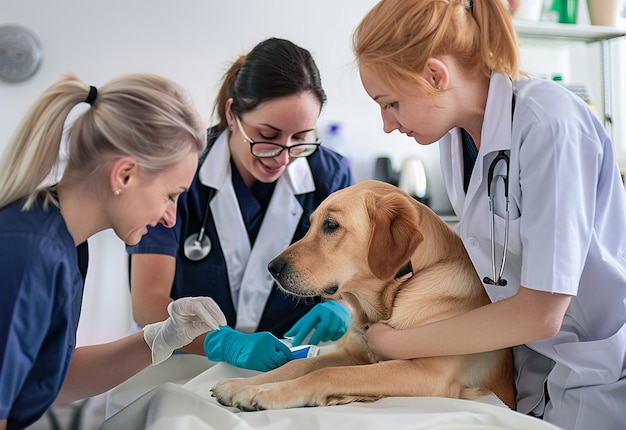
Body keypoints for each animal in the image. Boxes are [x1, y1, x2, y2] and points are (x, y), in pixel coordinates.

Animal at [210, 180, 512, 412]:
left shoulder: (430, 374)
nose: (271, 268)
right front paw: (241, 384)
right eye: (311, 224)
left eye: (331, 225)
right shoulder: (352, 354)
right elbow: (301, 365)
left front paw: (267, 393)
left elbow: (328, 373)